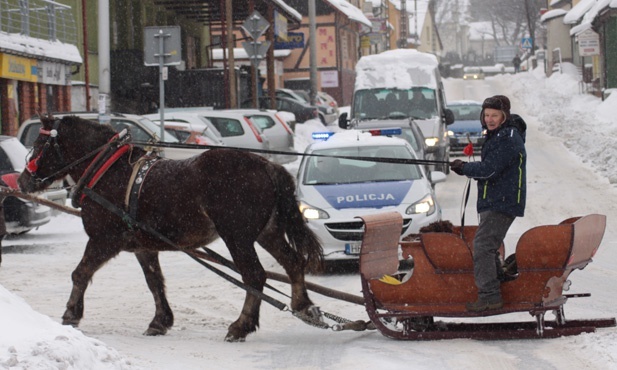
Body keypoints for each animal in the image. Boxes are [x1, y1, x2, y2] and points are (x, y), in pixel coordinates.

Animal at [18, 115, 322, 342]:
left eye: (39, 144)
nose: (22, 181)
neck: (107, 170)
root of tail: (266, 165)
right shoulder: (143, 246)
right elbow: (155, 282)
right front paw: (160, 321)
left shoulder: (104, 240)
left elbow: (80, 273)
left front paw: (71, 314)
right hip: (266, 232)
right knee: (292, 262)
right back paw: (304, 306)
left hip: (237, 236)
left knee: (254, 275)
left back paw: (241, 325)